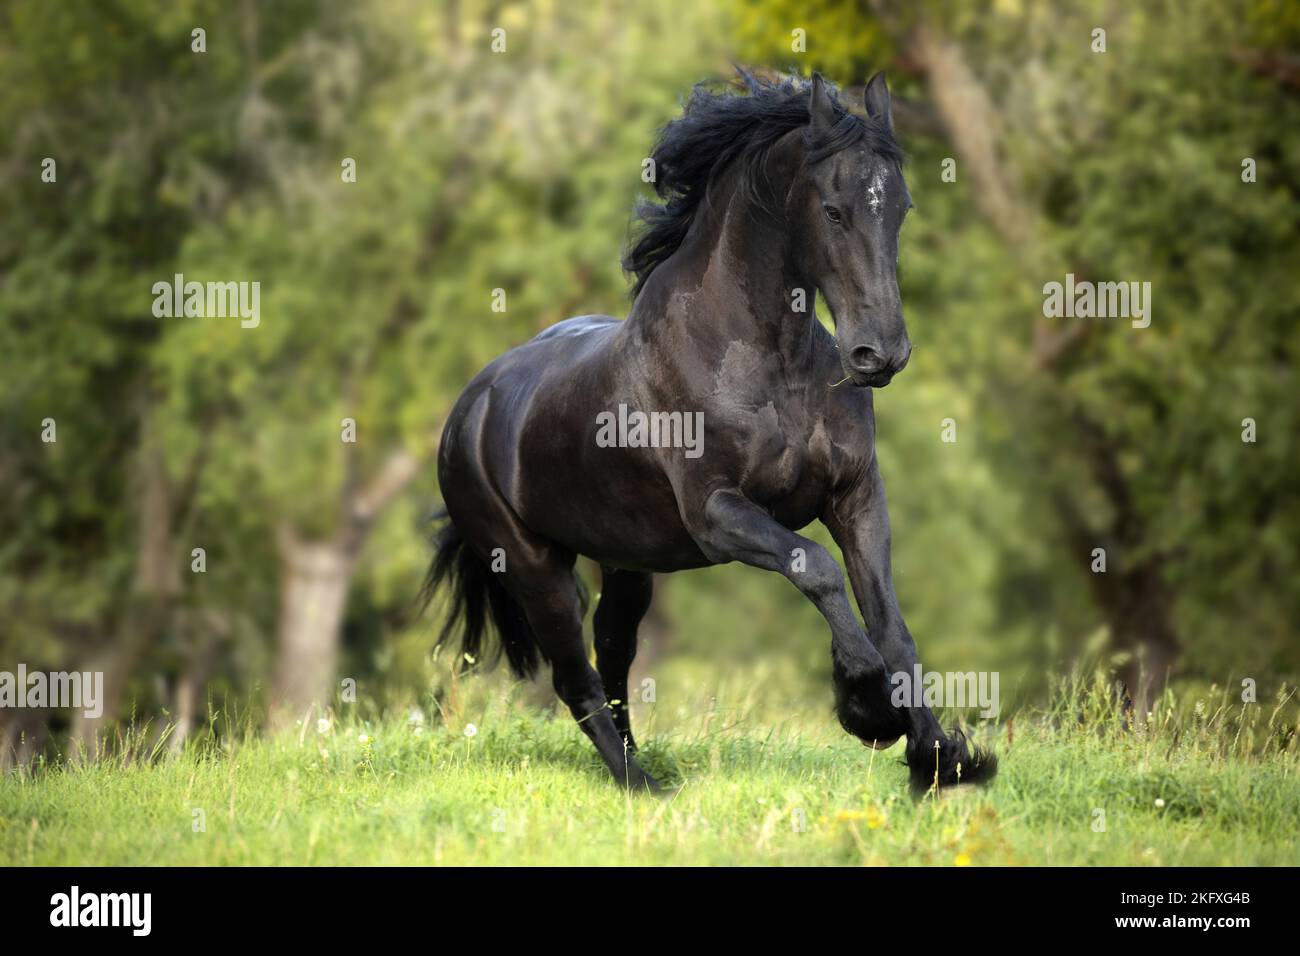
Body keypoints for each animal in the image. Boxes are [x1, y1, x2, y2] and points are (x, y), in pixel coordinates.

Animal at [424, 71, 997, 794]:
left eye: (902, 207)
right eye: (834, 211)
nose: (881, 353)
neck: (770, 364)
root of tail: (466, 412)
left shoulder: (857, 496)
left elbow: (892, 624)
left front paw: (942, 758)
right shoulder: (718, 514)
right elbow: (816, 569)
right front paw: (866, 706)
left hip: (627, 561)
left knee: (613, 657)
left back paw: (642, 768)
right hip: (532, 565)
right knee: (574, 676)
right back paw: (639, 786)